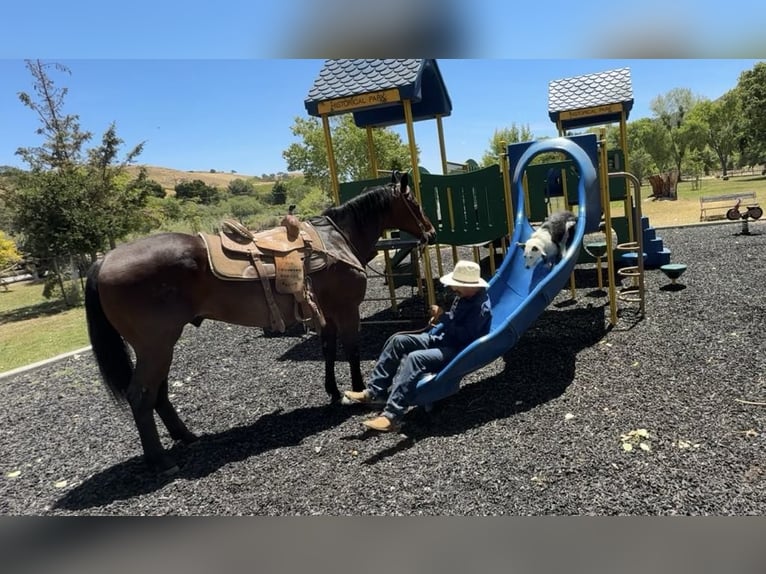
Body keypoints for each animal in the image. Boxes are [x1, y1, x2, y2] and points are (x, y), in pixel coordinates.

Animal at [84, 172, 435, 474]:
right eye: (413, 202)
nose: (430, 232)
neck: (336, 239)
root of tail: (104, 261)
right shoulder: (346, 309)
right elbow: (350, 350)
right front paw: (359, 393)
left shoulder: (325, 312)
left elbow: (328, 349)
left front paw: (334, 392)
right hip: (156, 346)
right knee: (141, 396)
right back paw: (160, 461)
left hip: (160, 347)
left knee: (158, 392)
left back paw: (186, 437)